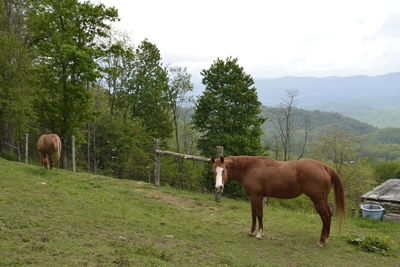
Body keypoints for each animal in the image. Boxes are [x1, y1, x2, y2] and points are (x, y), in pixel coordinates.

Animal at [211, 157, 346, 247]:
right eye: (214, 171)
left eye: (223, 170)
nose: (219, 187)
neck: (251, 168)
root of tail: (325, 167)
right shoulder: (252, 197)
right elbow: (253, 215)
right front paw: (251, 232)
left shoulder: (257, 196)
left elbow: (259, 214)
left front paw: (259, 234)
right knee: (328, 216)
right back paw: (326, 238)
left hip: (318, 200)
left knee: (326, 216)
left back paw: (321, 241)